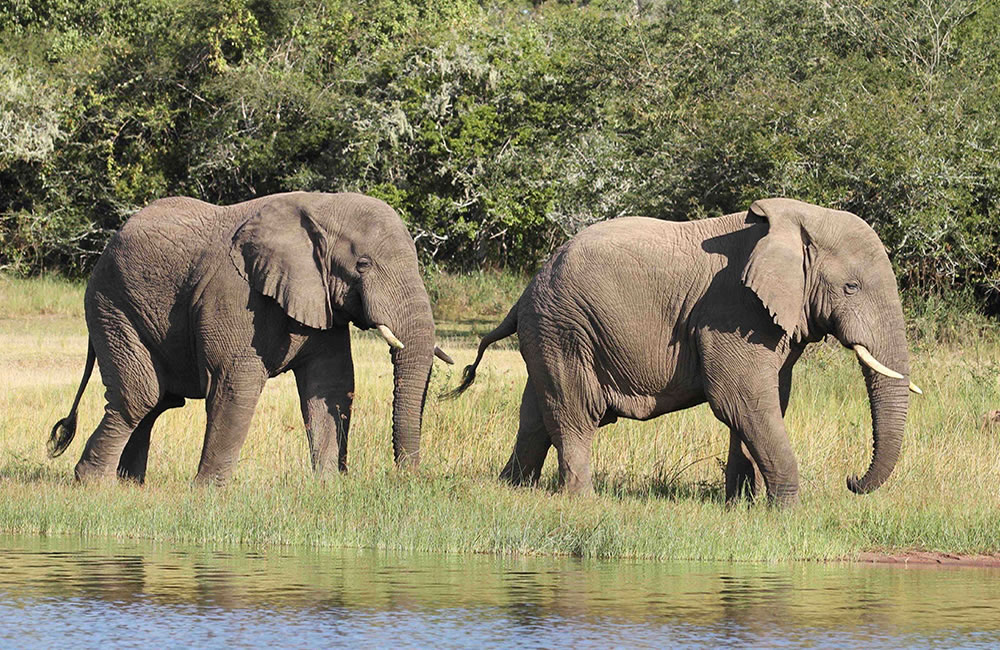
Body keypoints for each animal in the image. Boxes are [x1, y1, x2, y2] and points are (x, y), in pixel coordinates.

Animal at [47, 190, 454, 484]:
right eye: (363, 264)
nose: (406, 479)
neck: (322, 206)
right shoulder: (234, 295)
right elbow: (235, 382)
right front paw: (209, 492)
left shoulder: (319, 298)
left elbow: (331, 384)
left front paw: (328, 486)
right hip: (111, 304)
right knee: (140, 395)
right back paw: (92, 484)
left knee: (157, 402)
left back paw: (130, 484)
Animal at [452, 197, 920, 506]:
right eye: (851, 287)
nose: (851, 480)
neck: (797, 219)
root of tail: (525, 292)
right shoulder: (731, 310)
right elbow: (740, 399)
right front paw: (784, 513)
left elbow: (763, 403)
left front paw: (740, 509)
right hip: (565, 328)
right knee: (575, 414)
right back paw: (584, 503)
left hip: (549, 332)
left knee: (536, 416)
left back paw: (513, 490)